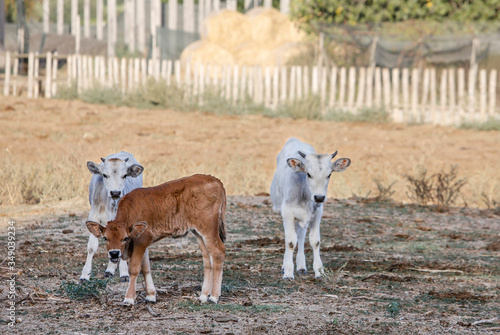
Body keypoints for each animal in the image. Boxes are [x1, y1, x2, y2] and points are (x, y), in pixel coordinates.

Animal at [79, 151, 144, 282]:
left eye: (124, 175)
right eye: (104, 175)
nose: (115, 193)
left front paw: (124, 273)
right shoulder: (93, 216)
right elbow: (91, 246)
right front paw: (85, 275)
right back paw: (109, 270)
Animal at [86, 175, 227, 306]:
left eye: (125, 238)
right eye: (105, 238)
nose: (114, 253)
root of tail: (215, 180)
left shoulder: (142, 241)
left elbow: (134, 268)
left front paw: (129, 298)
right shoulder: (143, 244)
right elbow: (145, 268)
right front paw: (150, 296)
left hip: (209, 230)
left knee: (218, 252)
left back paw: (214, 297)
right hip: (198, 233)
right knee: (207, 259)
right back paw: (203, 296)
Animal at [272, 138, 350, 280]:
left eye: (329, 175)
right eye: (308, 174)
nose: (319, 197)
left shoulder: (318, 213)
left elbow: (315, 241)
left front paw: (319, 271)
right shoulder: (287, 212)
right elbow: (290, 241)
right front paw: (288, 273)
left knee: (301, 235)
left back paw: (301, 266)